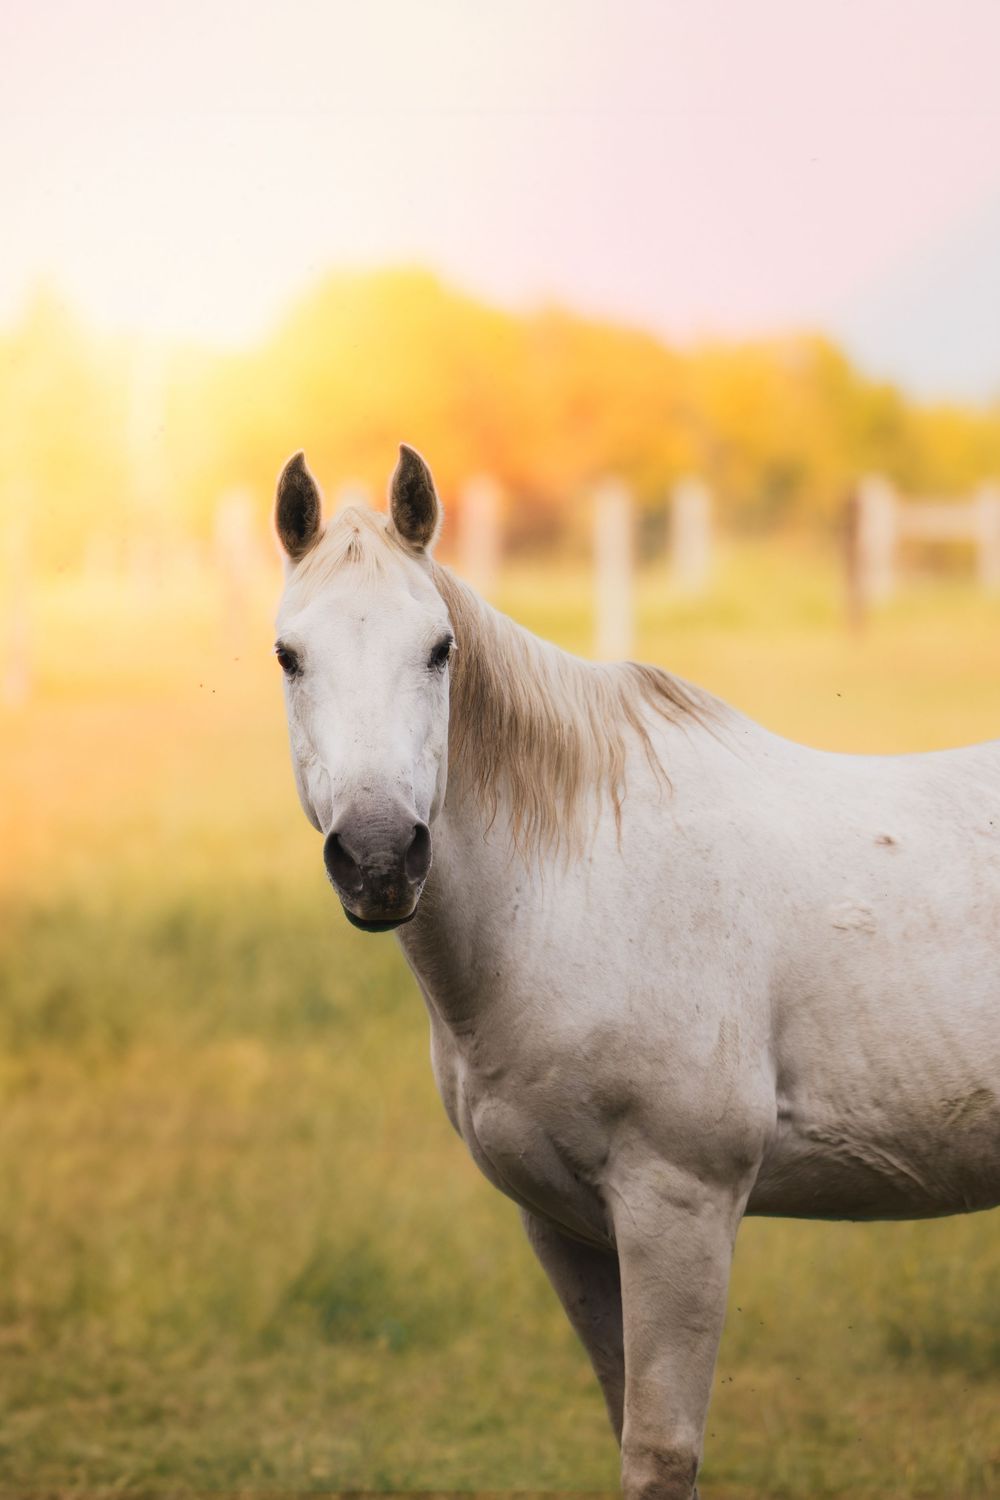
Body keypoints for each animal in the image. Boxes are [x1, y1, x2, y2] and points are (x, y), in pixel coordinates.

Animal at [271, 443, 1000, 1500]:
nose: (377, 858)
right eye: (289, 656)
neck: (581, 885)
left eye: (440, 649)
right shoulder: (565, 1226)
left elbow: (659, 1450)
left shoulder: (679, 1208)